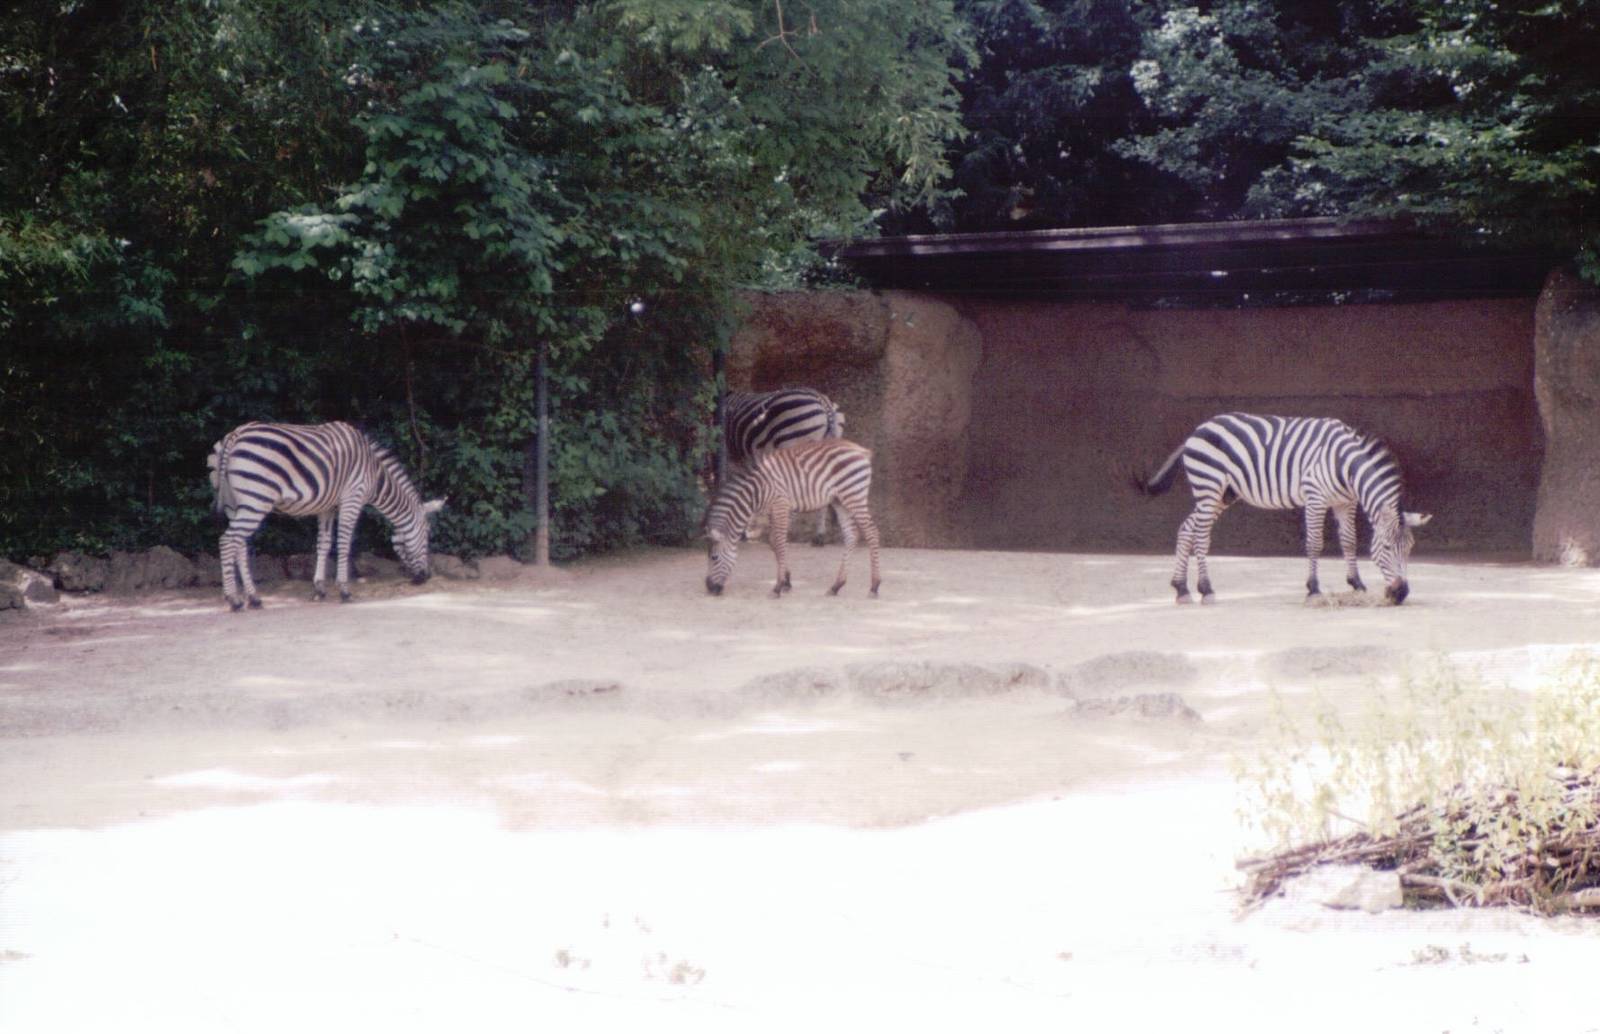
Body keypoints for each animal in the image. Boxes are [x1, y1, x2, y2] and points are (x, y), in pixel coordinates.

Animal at [208, 421, 445, 610]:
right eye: (427, 534)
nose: (425, 577)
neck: (374, 473)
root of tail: (235, 434)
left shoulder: (327, 507)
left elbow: (324, 543)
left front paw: (319, 589)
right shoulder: (353, 498)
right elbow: (344, 543)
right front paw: (344, 590)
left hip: (235, 504)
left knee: (239, 545)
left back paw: (254, 598)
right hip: (256, 499)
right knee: (227, 541)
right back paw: (234, 600)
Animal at [704, 438, 881, 598]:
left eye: (714, 558)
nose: (710, 588)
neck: (756, 491)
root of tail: (862, 451)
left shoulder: (781, 505)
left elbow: (780, 542)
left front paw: (777, 587)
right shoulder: (773, 510)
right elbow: (773, 541)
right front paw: (786, 581)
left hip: (853, 496)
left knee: (872, 533)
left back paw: (874, 586)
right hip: (840, 501)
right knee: (852, 535)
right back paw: (836, 586)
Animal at [1136, 413, 1432, 605]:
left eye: (1410, 549)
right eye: (1386, 548)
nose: (1401, 594)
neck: (1345, 465)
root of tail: (1197, 430)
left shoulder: (1345, 502)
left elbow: (1349, 541)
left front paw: (1357, 585)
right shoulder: (1315, 498)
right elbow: (1315, 543)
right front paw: (1313, 589)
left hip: (1223, 494)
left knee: (1187, 528)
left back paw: (1181, 589)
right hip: (1208, 487)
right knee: (1200, 535)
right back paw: (1206, 589)